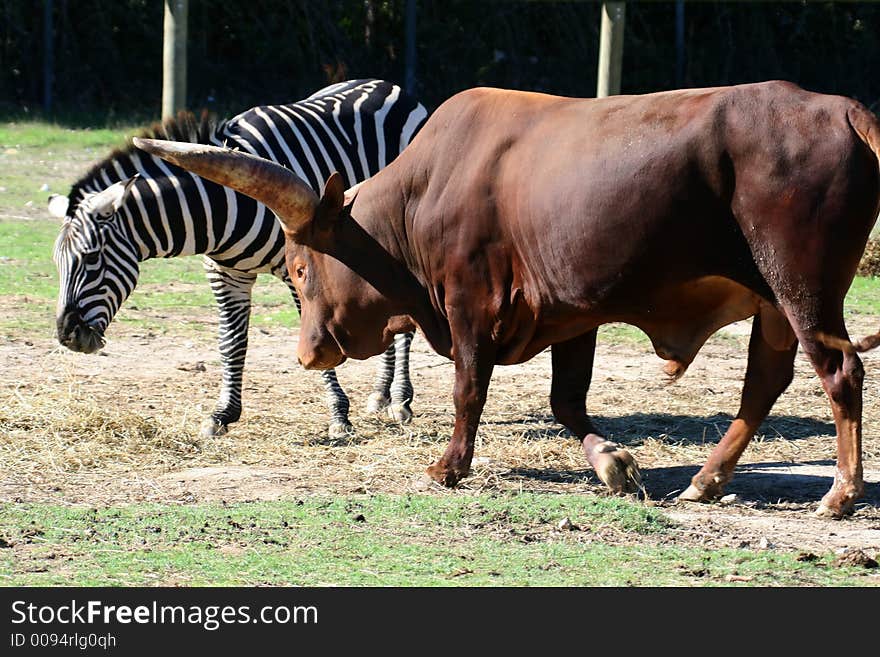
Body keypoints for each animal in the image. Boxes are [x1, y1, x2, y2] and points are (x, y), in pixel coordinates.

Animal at [51, 80, 430, 436]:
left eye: (92, 257)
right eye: (58, 263)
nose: (67, 336)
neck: (218, 205)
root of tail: (387, 85)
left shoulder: (298, 270)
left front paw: (339, 415)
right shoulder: (223, 273)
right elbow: (231, 342)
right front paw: (223, 414)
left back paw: (399, 399)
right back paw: (381, 394)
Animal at [134, 79, 880, 516]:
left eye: (296, 266)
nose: (308, 352)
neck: (423, 191)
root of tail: (842, 108)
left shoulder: (471, 302)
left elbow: (470, 387)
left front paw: (448, 466)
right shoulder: (575, 309)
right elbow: (566, 401)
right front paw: (611, 463)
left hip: (800, 287)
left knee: (839, 371)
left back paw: (840, 494)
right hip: (772, 301)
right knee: (765, 382)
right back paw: (707, 480)